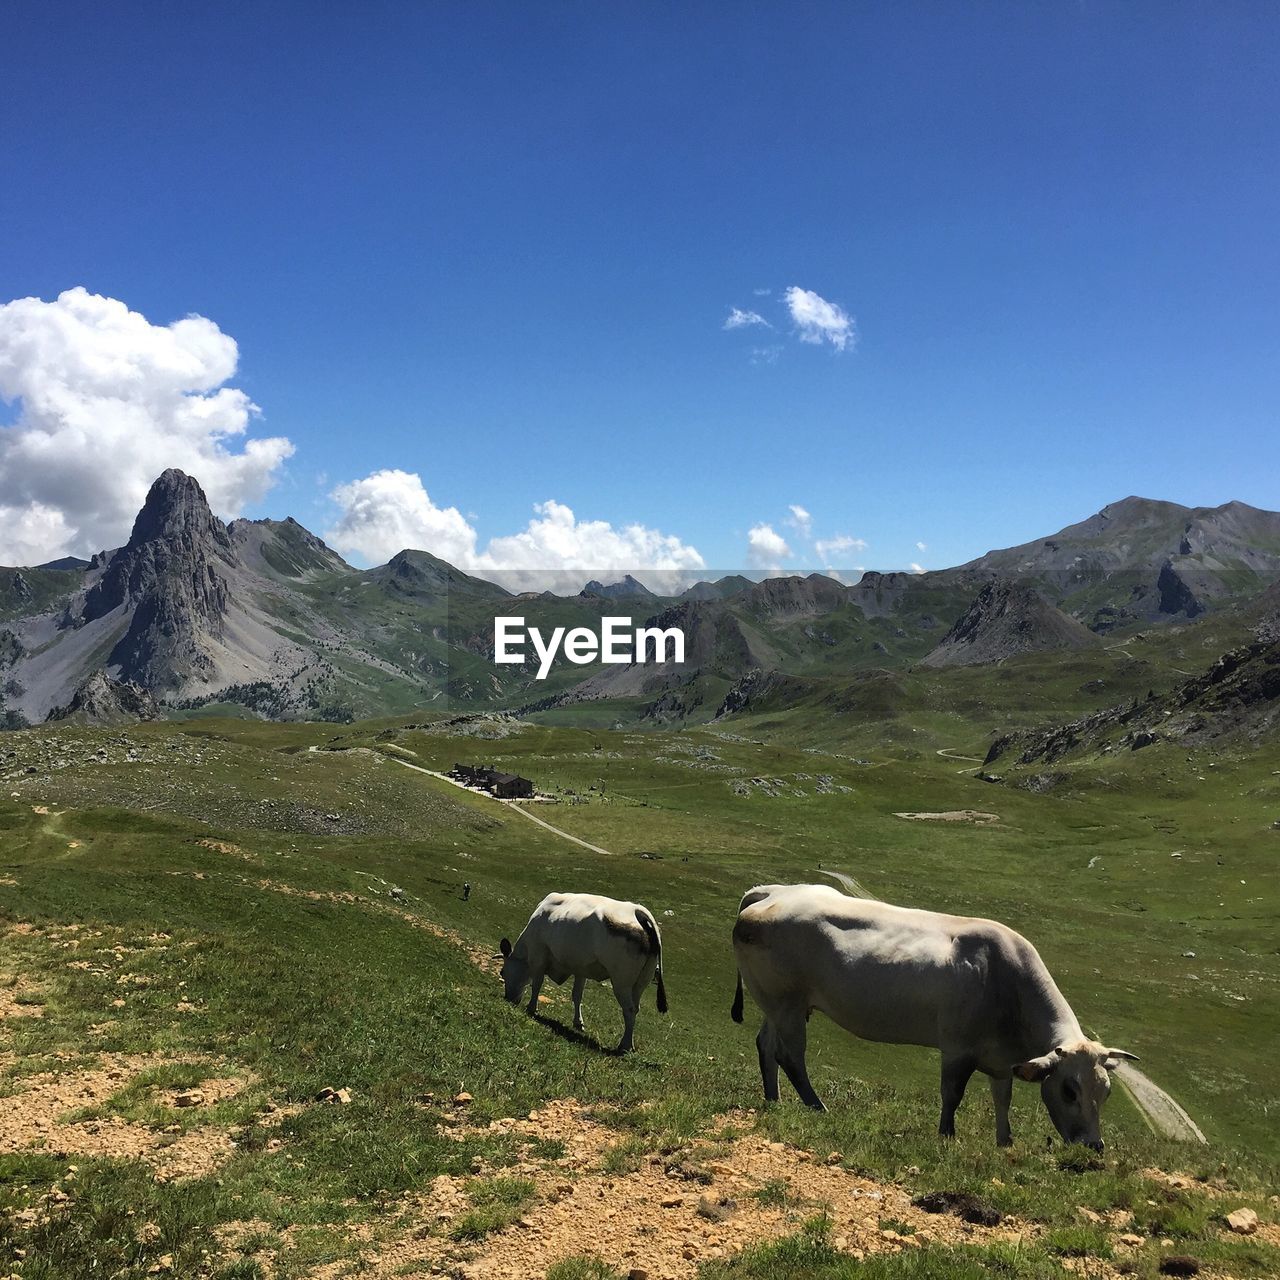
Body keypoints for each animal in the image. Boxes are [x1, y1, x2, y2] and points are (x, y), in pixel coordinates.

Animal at [496, 890, 670, 1049]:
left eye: (502, 972)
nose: (508, 999)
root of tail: (635, 910)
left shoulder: (538, 956)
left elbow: (537, 985)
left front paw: (531, 1008)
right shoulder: (581, 970)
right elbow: (577, 995)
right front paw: (578, 1023)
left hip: (622, 983)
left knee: (629, 1009)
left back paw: (625, 1045)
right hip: (640, 983)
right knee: (636, 1007)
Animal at [732, 890, 1141, 1152]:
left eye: (1106, 1091)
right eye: (1069, 1090)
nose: (1094, 1147)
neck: (1006, 982)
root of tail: (769, 892)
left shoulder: (1001, 1060)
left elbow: (1003, 1098)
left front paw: (1005, 1142)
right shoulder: (958, 1048)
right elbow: (952, 1094)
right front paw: (946, 1136)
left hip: (778, 1005)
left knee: (766, 1045)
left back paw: (773, 1100)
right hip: (787, 1003)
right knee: (790, 1056)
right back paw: (818, 1107)